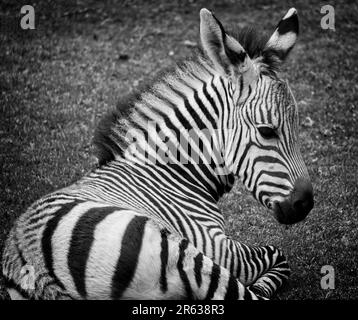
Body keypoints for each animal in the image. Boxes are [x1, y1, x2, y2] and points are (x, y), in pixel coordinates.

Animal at [1, 8, 312, 300]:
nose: (305, 204)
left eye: (298, 126)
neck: (172, 171)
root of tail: (34, 263)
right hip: (184, 255)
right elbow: (277, 254)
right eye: (267, 131)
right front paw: (263, 284)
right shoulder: (217, 245)